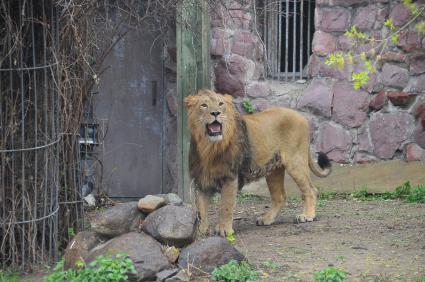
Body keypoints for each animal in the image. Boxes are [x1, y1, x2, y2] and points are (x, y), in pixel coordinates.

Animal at [185, 88, 332, 236]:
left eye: (221, 104)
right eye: (204, 105)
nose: (215, 113)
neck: (208, 148)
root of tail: (301, 116)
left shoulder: (231, 176)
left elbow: (226, 205)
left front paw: (224, 230)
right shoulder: (202, 181)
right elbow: (201, 209)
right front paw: (201, 232)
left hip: (295, 162)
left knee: (311, 190)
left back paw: (307, 215)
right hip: (273, 171)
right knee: (280, 197)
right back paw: (266, 219)